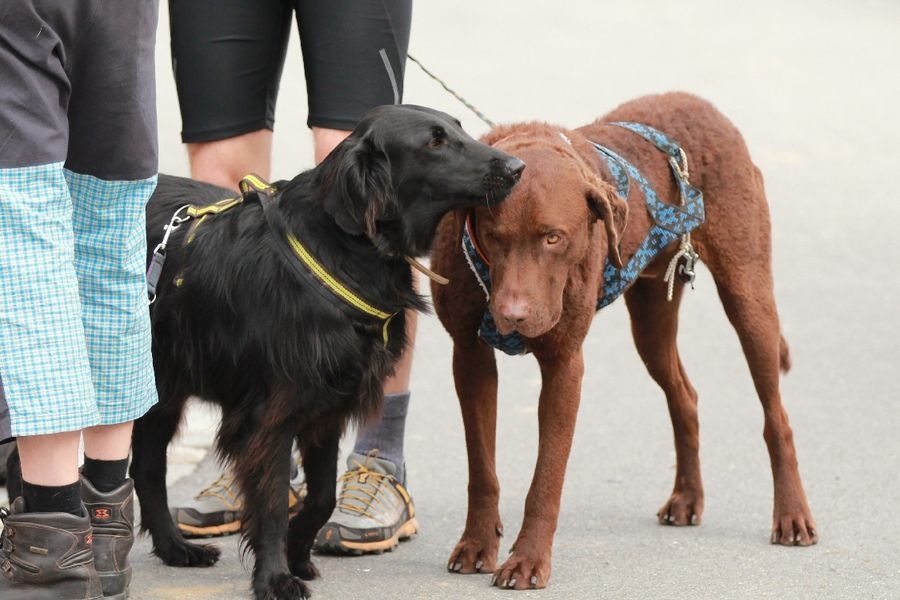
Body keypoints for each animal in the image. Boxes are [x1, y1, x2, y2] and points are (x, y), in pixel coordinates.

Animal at [135, 105, 528, 596]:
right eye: (434, 142)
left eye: (458, 128)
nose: (517, 167)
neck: (342, 247)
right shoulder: (270, 418)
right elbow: (270, 503)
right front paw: (275, 577)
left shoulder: (328, 407)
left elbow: (322, 497)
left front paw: (299, 553)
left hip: (160, 394)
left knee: (148, 470)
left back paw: (175, 549)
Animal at [432, 92, 820, 592]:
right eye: (493, 236)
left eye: (553, 238)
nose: (513, 316)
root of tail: (702, 104)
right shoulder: (469, 356)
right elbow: (481, 468)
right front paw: (478, 544)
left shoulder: (564, 365)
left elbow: (546, 478)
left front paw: (527, 560)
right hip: (651, 323)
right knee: (685, 397)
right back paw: (686, 497)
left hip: (749, 298)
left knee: (777, 417)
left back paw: (791, 515)